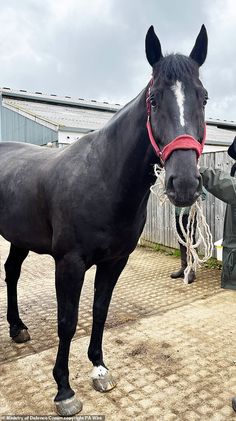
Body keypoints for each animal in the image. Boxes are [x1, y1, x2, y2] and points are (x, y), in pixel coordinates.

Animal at [0, 24, 206, 416]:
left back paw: (17, 328)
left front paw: (98, 368)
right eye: (153, 99)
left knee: (12, 272)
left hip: (20, 238)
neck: (101, 177)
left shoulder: (115, 261)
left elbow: (99, 311)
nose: (184, 183)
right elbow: (67, 322)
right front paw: (64, 390)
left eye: (203, 97)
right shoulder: (69, 264)